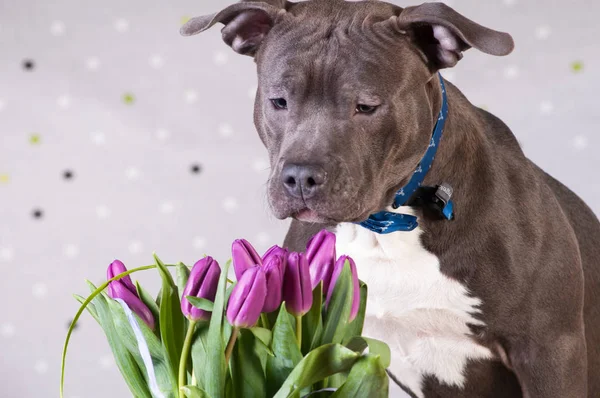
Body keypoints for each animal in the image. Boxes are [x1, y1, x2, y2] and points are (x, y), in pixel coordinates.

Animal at [183, 1, 600, 396]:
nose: (299, 177)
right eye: (279, 101)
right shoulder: (331, 348)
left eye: (366, 106)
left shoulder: (549, 351)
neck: (385, 224)